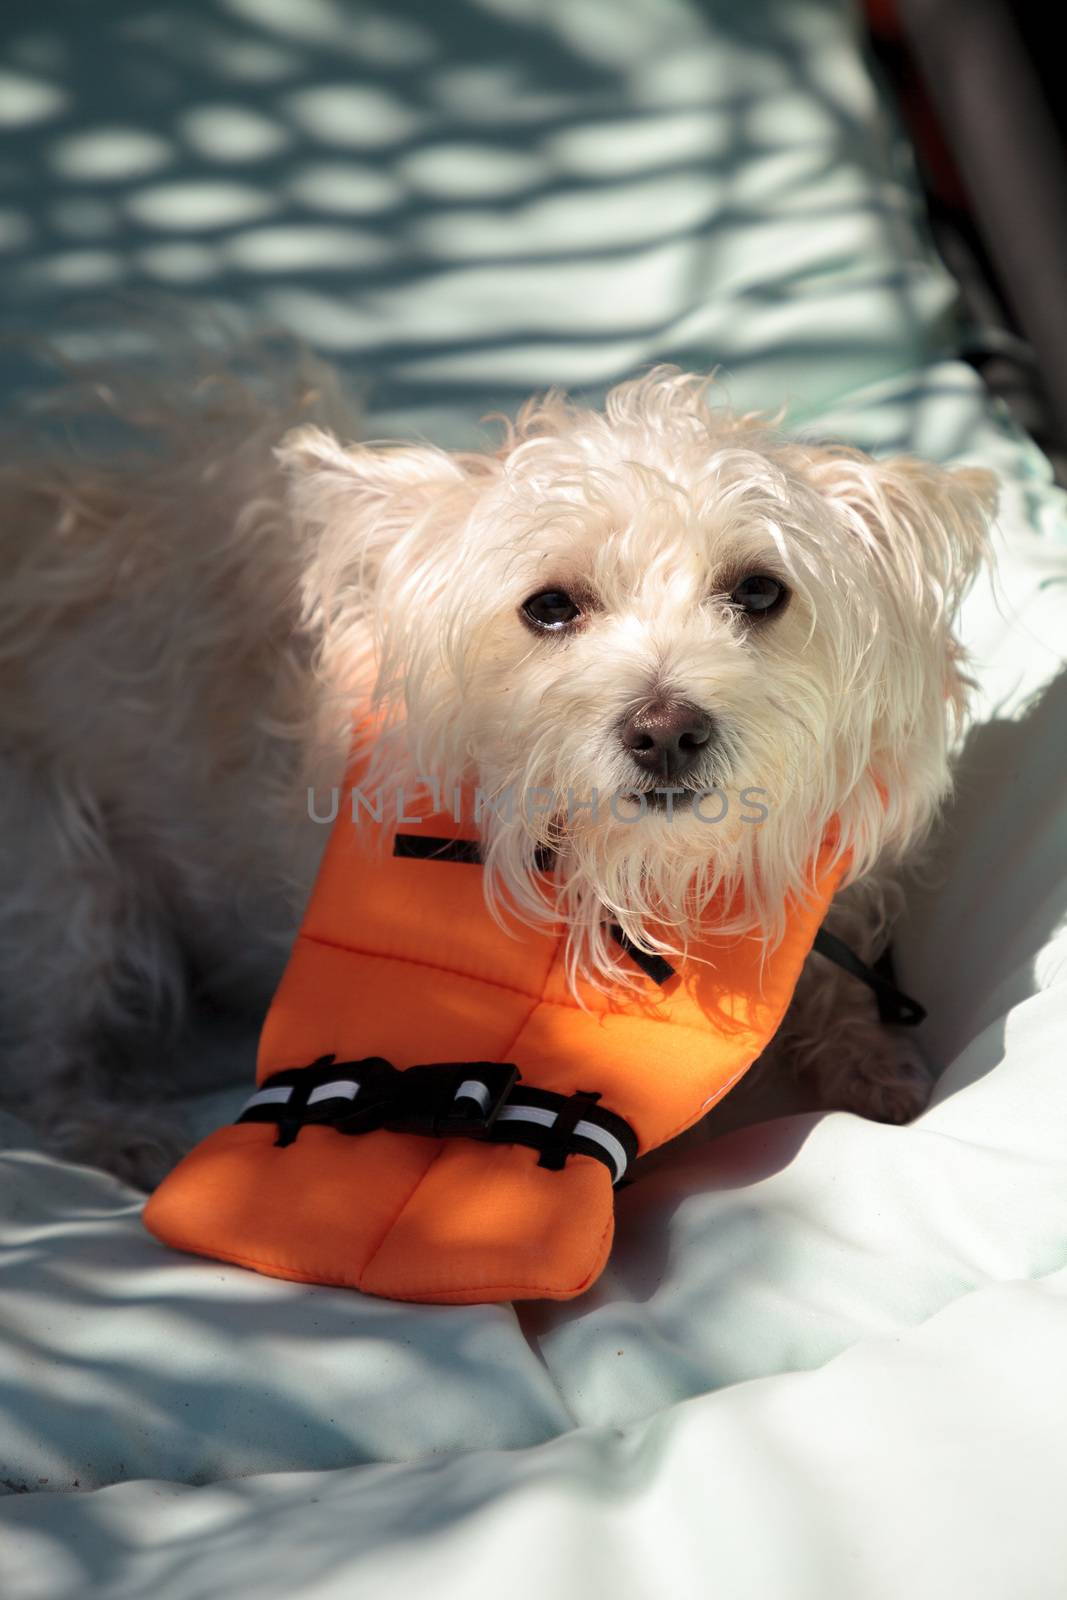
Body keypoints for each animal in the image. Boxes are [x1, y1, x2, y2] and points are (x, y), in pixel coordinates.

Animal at [2, 363, 1004, 1190]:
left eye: (758, 591)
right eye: (549, 607)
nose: (665, 731)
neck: (645, 881)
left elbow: (839, 986)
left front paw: (872, 1064)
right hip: (69, 895)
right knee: (49, 1056)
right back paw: (121, 1132)